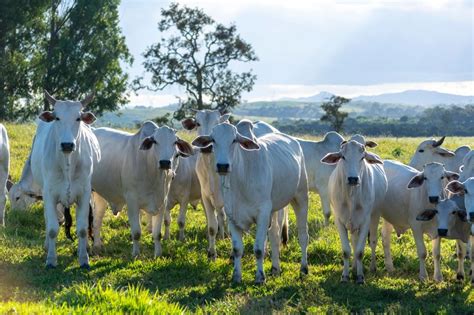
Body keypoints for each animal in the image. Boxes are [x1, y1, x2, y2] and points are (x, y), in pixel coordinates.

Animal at [30, 91, 99, 270]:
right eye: (57, 118)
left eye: (78, 118)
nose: (67, 145)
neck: (68, 163)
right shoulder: (49, 194)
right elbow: (52, 228)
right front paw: (51, 260)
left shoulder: (84, 194)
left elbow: (82, 229)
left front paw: (84, 258)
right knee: (48, 221)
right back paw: (47, 245)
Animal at [90, 122, 193, 258]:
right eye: (154, 141)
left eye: (175, 142)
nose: (165, 162)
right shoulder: (132, 203)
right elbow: (136, 233)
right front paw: (135, 254)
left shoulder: (162, 203)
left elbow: (157, 234)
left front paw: (158, 254)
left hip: (100, 195)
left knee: (97, 220)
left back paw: (97, 245)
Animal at [181, 110, 230, 260]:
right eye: (198, 123)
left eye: (217, 123)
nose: (207, 146)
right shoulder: (206, 196)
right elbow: (212, 226)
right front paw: (212, 253)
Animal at [193, 123, 312, 284]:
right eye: (213, 140)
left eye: (234, 140)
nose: (223, 166)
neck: (241, 178)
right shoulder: (232, 216)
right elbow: (237, 249)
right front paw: (236, 276)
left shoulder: (262, 214)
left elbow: (259, 249)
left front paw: (260, 277)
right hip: (275, 208)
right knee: (274, 235)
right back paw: (275, 268)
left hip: (301, 197)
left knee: (303, 235)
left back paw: (304, 268)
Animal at [320, 141, 386, 284]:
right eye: (343, 157)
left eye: (362, 158)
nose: (353, 179)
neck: (351, 197)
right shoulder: (339, 220)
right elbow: (346, 250)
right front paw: (345, 276)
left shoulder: (365, 221)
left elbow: (360, 251)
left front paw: (360, 277)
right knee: (354, 242)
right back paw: (354, 267)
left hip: (375, 215)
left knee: (372, 241)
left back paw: (371, 267)